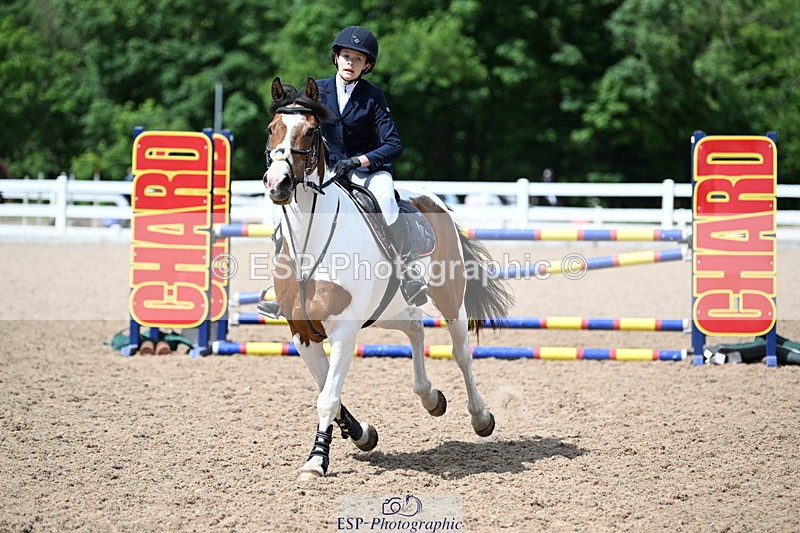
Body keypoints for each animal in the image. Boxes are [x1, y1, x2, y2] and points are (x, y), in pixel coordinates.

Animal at [262, 77, 514, 479]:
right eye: (273, 129)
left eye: (311, 131)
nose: (278, 184)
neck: (307, 244)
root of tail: (431, 198)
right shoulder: (303, 332)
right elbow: (328, 392)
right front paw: (362, 434)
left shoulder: (344, 329)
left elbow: (328, 397)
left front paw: (316, 461)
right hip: (385, 310)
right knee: (414, 327)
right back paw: (430, 397)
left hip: (449, 298)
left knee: (461, 353)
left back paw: (481, 417)